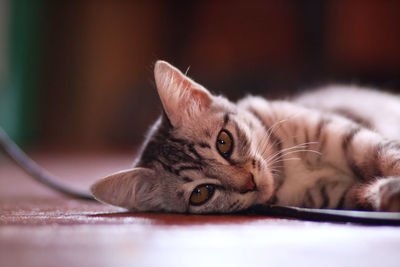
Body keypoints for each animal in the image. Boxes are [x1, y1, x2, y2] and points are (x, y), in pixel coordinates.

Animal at [90, 60, 400, 214]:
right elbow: (365, 192)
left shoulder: (347, 134)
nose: (250, 183)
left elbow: (387, 154)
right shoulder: (334, 195)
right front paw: (388, 192)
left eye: (223, 142)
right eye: (201, 193)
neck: (287, 171)